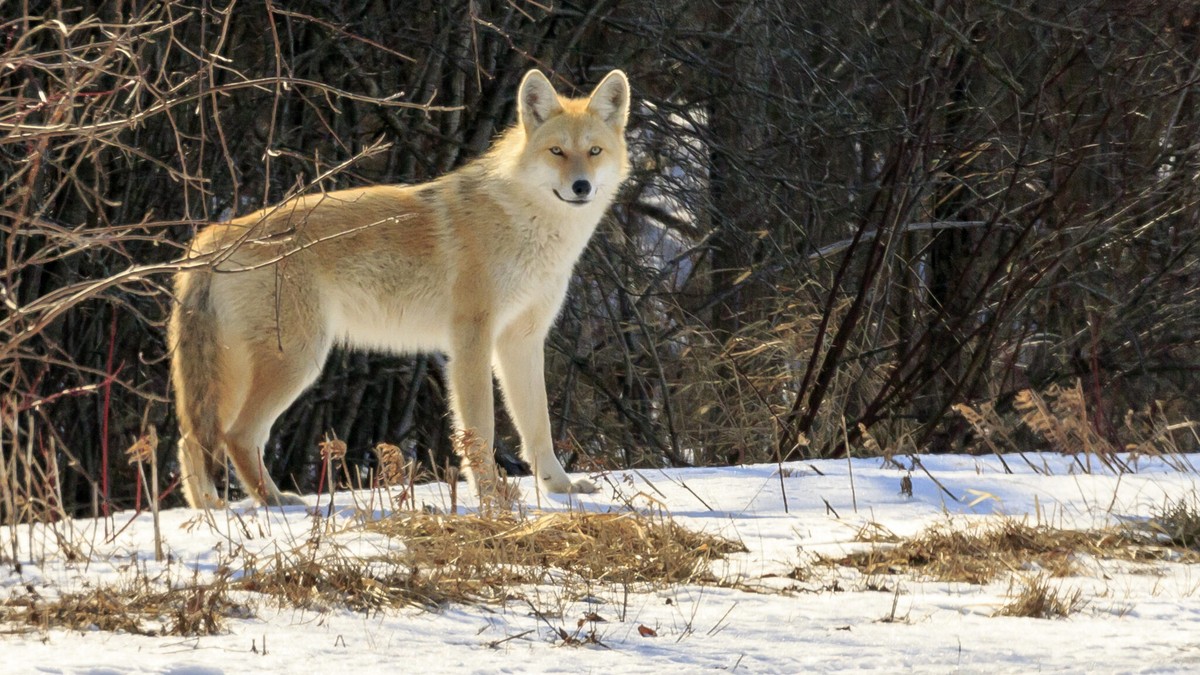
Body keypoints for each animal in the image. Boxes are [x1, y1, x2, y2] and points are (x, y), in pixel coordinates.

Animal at [168, 69, 630, 508]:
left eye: (594, 152)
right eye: (557, 152)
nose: (582, 187)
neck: (527, 226)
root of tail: (212, 237)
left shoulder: (522, 343)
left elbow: (538, 429)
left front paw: (561, 489)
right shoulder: (472, 341)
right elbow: (480, 428)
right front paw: (492, 497)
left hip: (243, 371)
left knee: (191, 440)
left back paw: (211, 511)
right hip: (297, 362)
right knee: (236, 435)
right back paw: (274, 502)